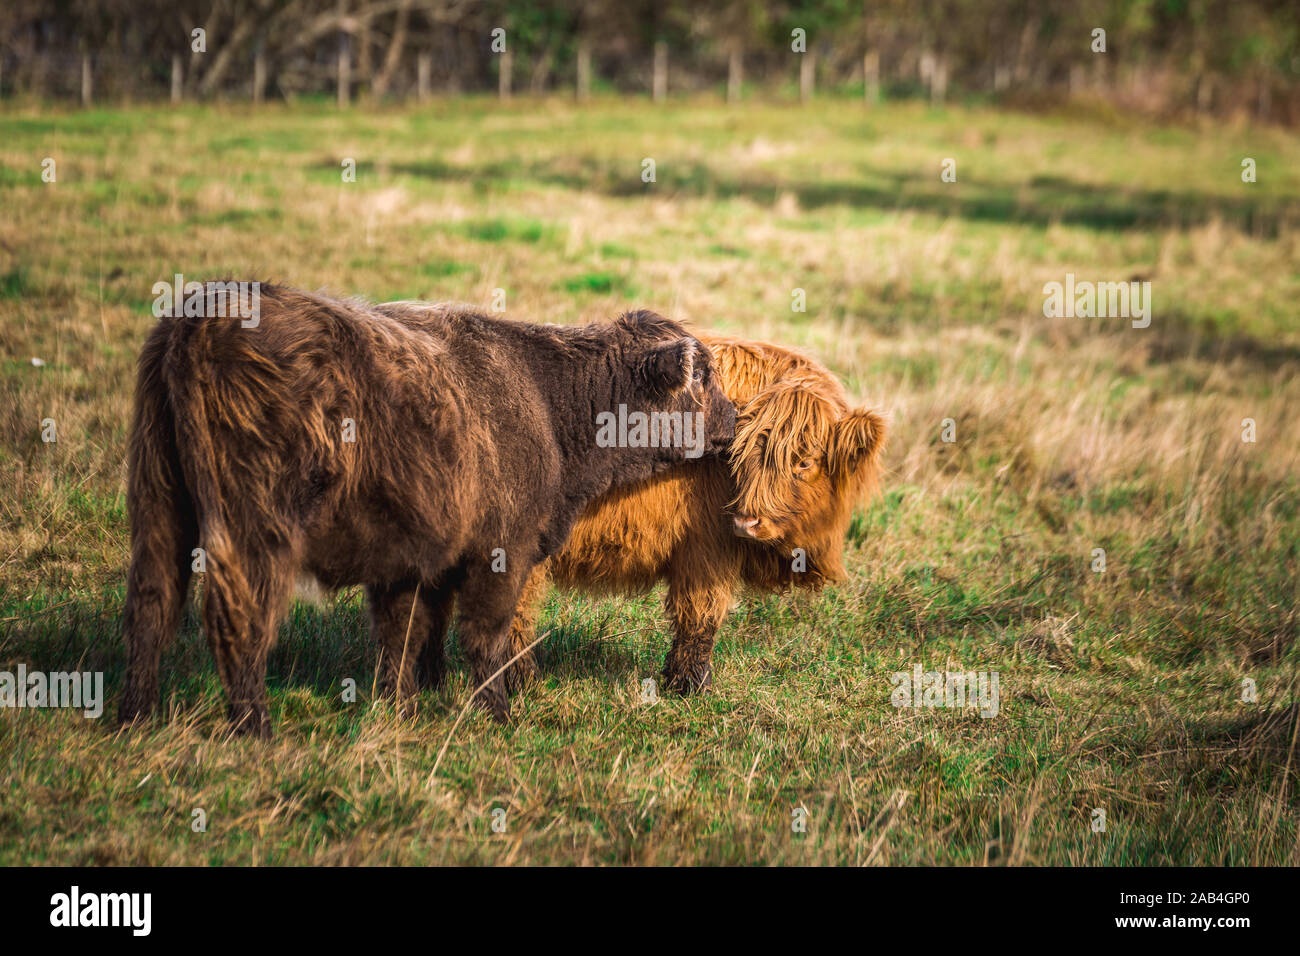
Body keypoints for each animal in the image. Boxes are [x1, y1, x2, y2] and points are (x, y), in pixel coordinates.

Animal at [119, 285, 735, 736]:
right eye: (703, 376)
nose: (736, 416)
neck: (550, 401)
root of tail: (203, 314)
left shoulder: (409, 557)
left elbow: (407, 633)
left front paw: (406, 704)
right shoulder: (501, 551)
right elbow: (485, 635)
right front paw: (498, 713)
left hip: (158, 503)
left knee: (153, 602)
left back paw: (137, 715)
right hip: (254, 523)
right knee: (238, 611)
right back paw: (254, 727)